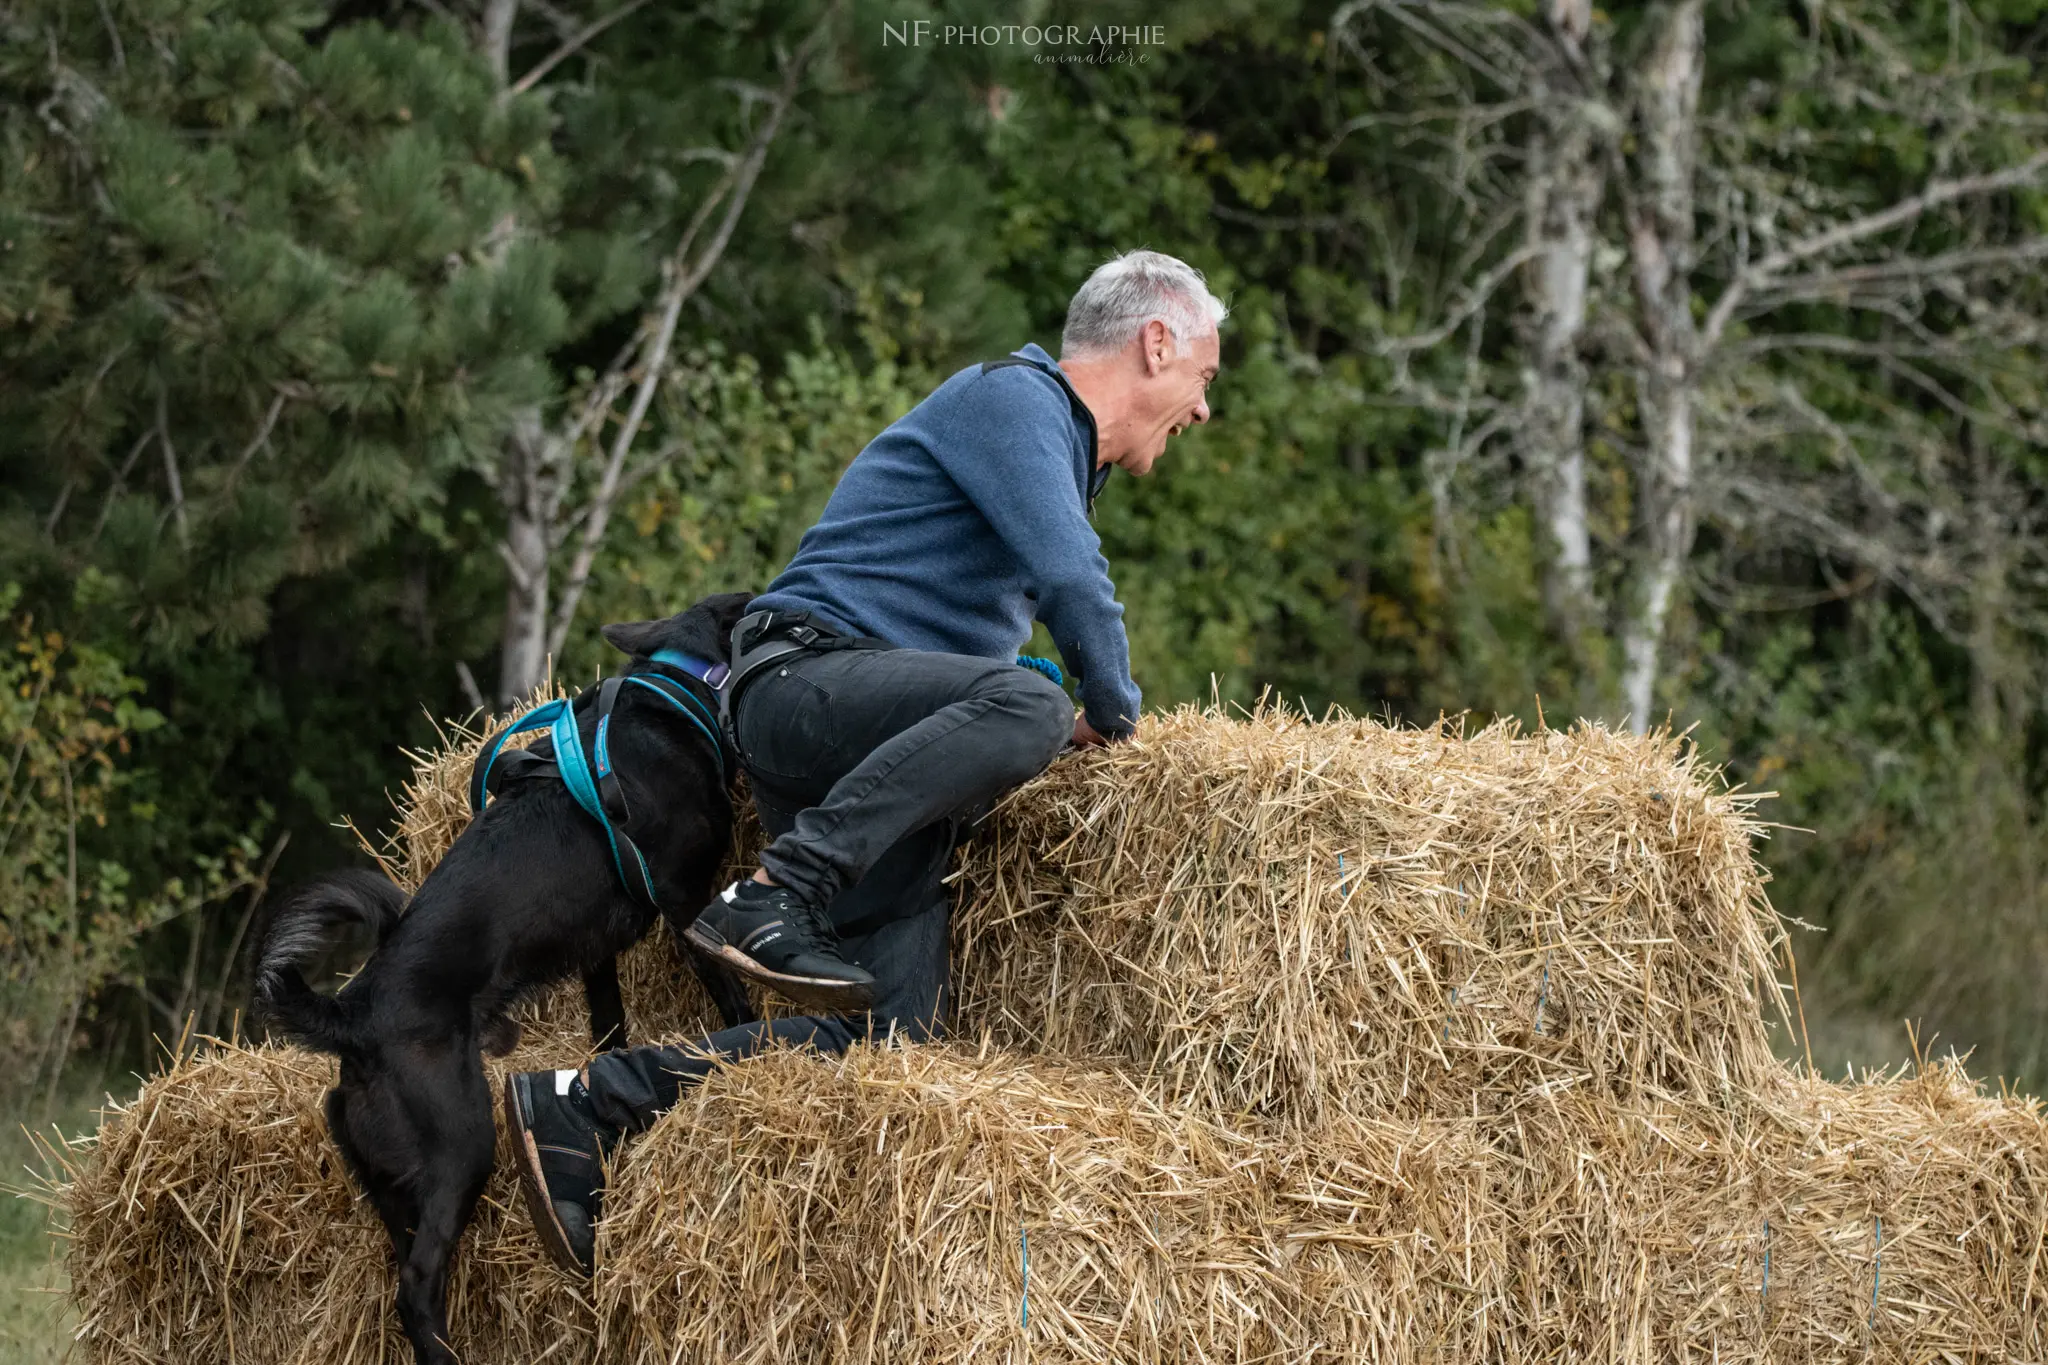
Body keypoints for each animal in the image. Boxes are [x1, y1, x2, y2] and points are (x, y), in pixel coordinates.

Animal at [256, 593, 761, 1365]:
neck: (677, 686)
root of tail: (355, 1018)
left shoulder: (596, 953)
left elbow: (610, 1027)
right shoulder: (684, 902)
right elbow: (729, 991)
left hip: (390, 1186)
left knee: (403, 1272)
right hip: (461, 1144)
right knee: (416, 1286)